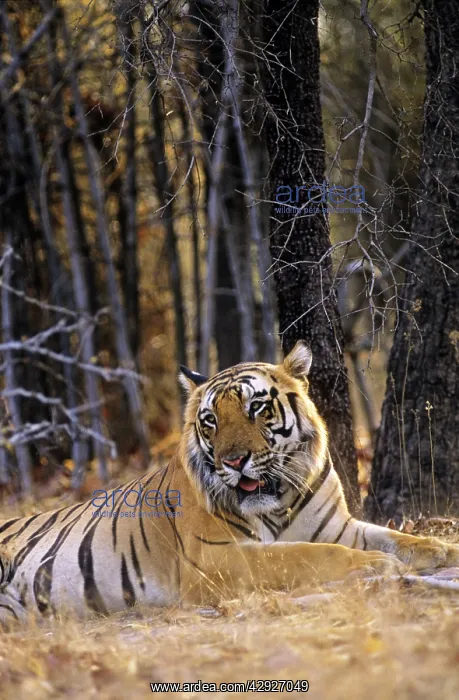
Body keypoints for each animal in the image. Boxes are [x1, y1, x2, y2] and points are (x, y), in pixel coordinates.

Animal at [1, 340, 459, 626]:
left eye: (256, 407)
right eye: (210, 421)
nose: (234, 462)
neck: (281, 500)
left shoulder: (337, 526)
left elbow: (393, 536)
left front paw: (440, 549)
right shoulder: (217, 556)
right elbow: (303, 556)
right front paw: (374, 566)